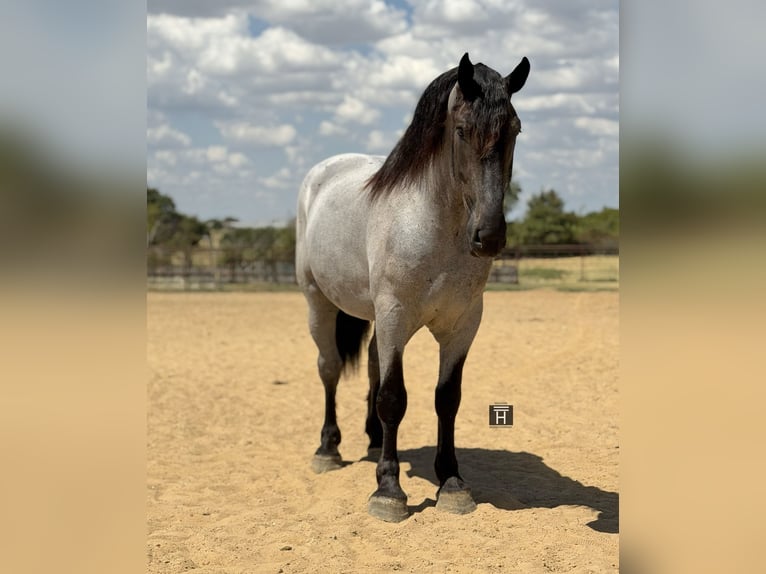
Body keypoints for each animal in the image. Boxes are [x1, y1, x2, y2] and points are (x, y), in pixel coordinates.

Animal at [296, 53, 530, 522]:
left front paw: (452, 483)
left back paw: (371, 441)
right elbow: (393, 397)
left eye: (514, 129)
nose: (490, 237)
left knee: (370, 364)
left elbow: (446, 398)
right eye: (461, 130)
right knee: (330, 368)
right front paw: (388, 491)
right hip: (319, 303)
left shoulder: (462, 325)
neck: (436, 227)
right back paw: (328, 449)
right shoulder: (395, 316)